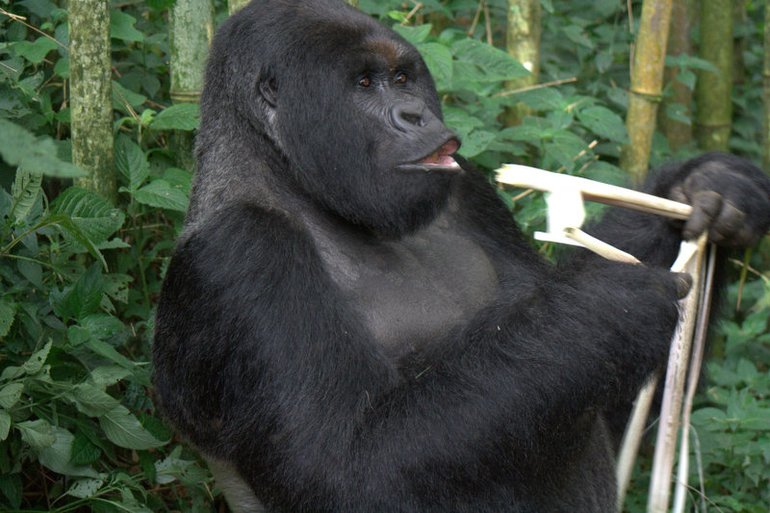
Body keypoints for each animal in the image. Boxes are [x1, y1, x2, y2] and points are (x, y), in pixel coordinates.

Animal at [153, 1, 768, 512]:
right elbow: (345, 471)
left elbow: (614, 414)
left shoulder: (467, 186)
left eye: (402, 78)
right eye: (363, 83)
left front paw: (708, 188)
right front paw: (605, 310)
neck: (291, 179)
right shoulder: (241, 257)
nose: (415, 116)